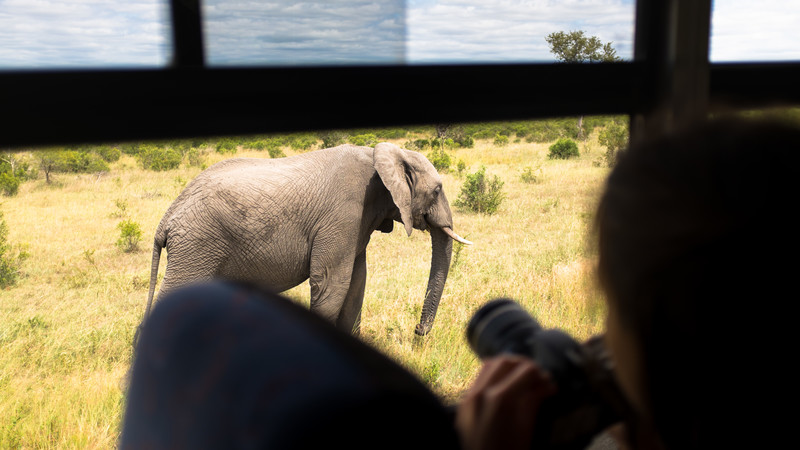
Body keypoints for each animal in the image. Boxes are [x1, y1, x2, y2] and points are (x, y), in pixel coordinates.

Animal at [142, 142, 476, 336]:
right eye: (437, 190)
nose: (418, 331)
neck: (383, 154)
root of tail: (167, 218)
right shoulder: (343, 214)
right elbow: (332, 285)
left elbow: (356, 285)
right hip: (196, 245)